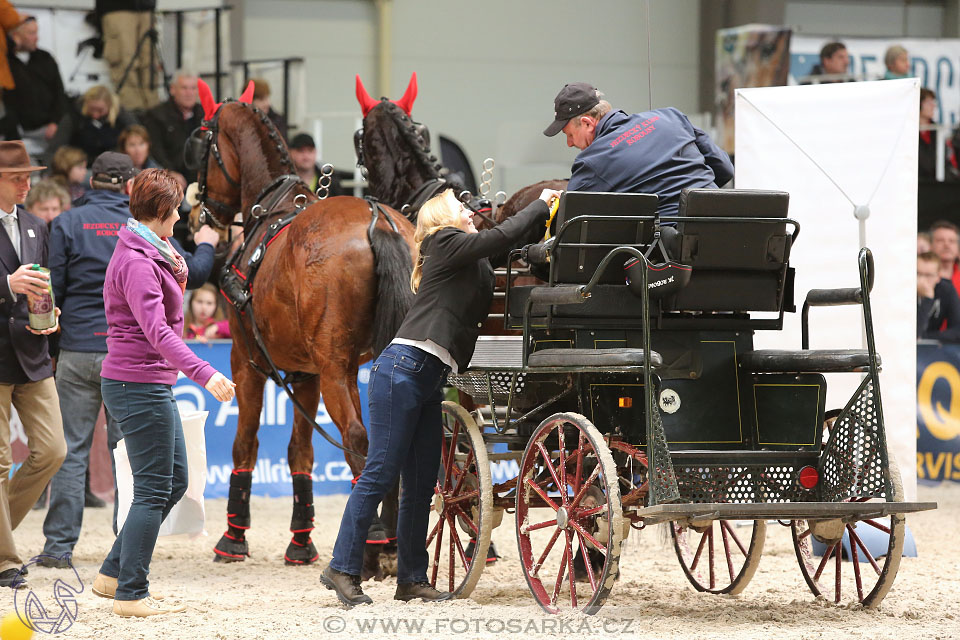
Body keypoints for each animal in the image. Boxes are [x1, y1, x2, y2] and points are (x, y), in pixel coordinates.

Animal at [193, 84, 418, 564]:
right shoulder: (307, 373)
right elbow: (300, 453)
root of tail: (379, 221)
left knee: (357, 439)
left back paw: (369, 542)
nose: (200, 214)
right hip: (357, 365)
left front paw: (233, 537)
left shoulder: (247, 363)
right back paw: (388, 538)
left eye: (200, 142)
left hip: (330, 369)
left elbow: (246, 444)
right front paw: (301, 540)